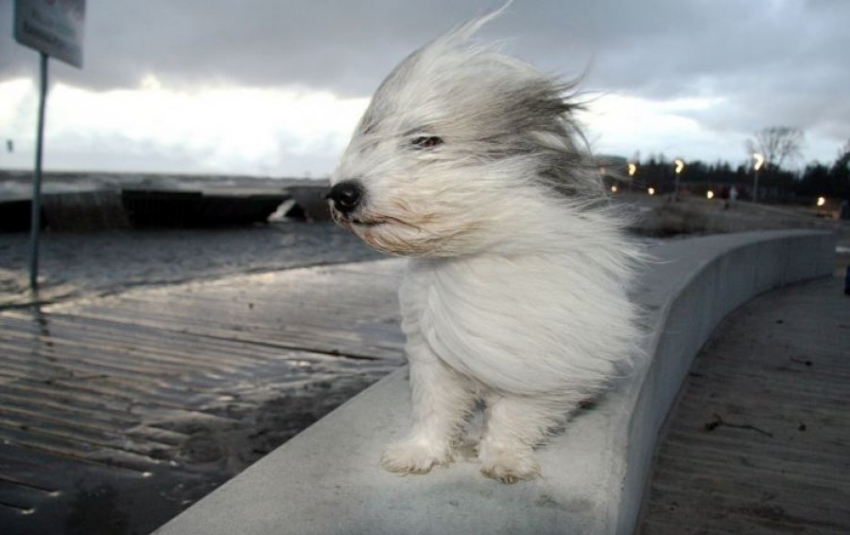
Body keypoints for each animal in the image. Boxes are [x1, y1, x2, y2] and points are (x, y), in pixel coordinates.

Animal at [328, 10, 640, 484]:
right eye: (371, 137)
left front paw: (504, 458)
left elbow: (516, 413)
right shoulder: (431, 352)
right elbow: (434, 408)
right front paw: (420, 452)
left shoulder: (535, 354)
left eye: (425, 141)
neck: (474, 249)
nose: (341, 194)